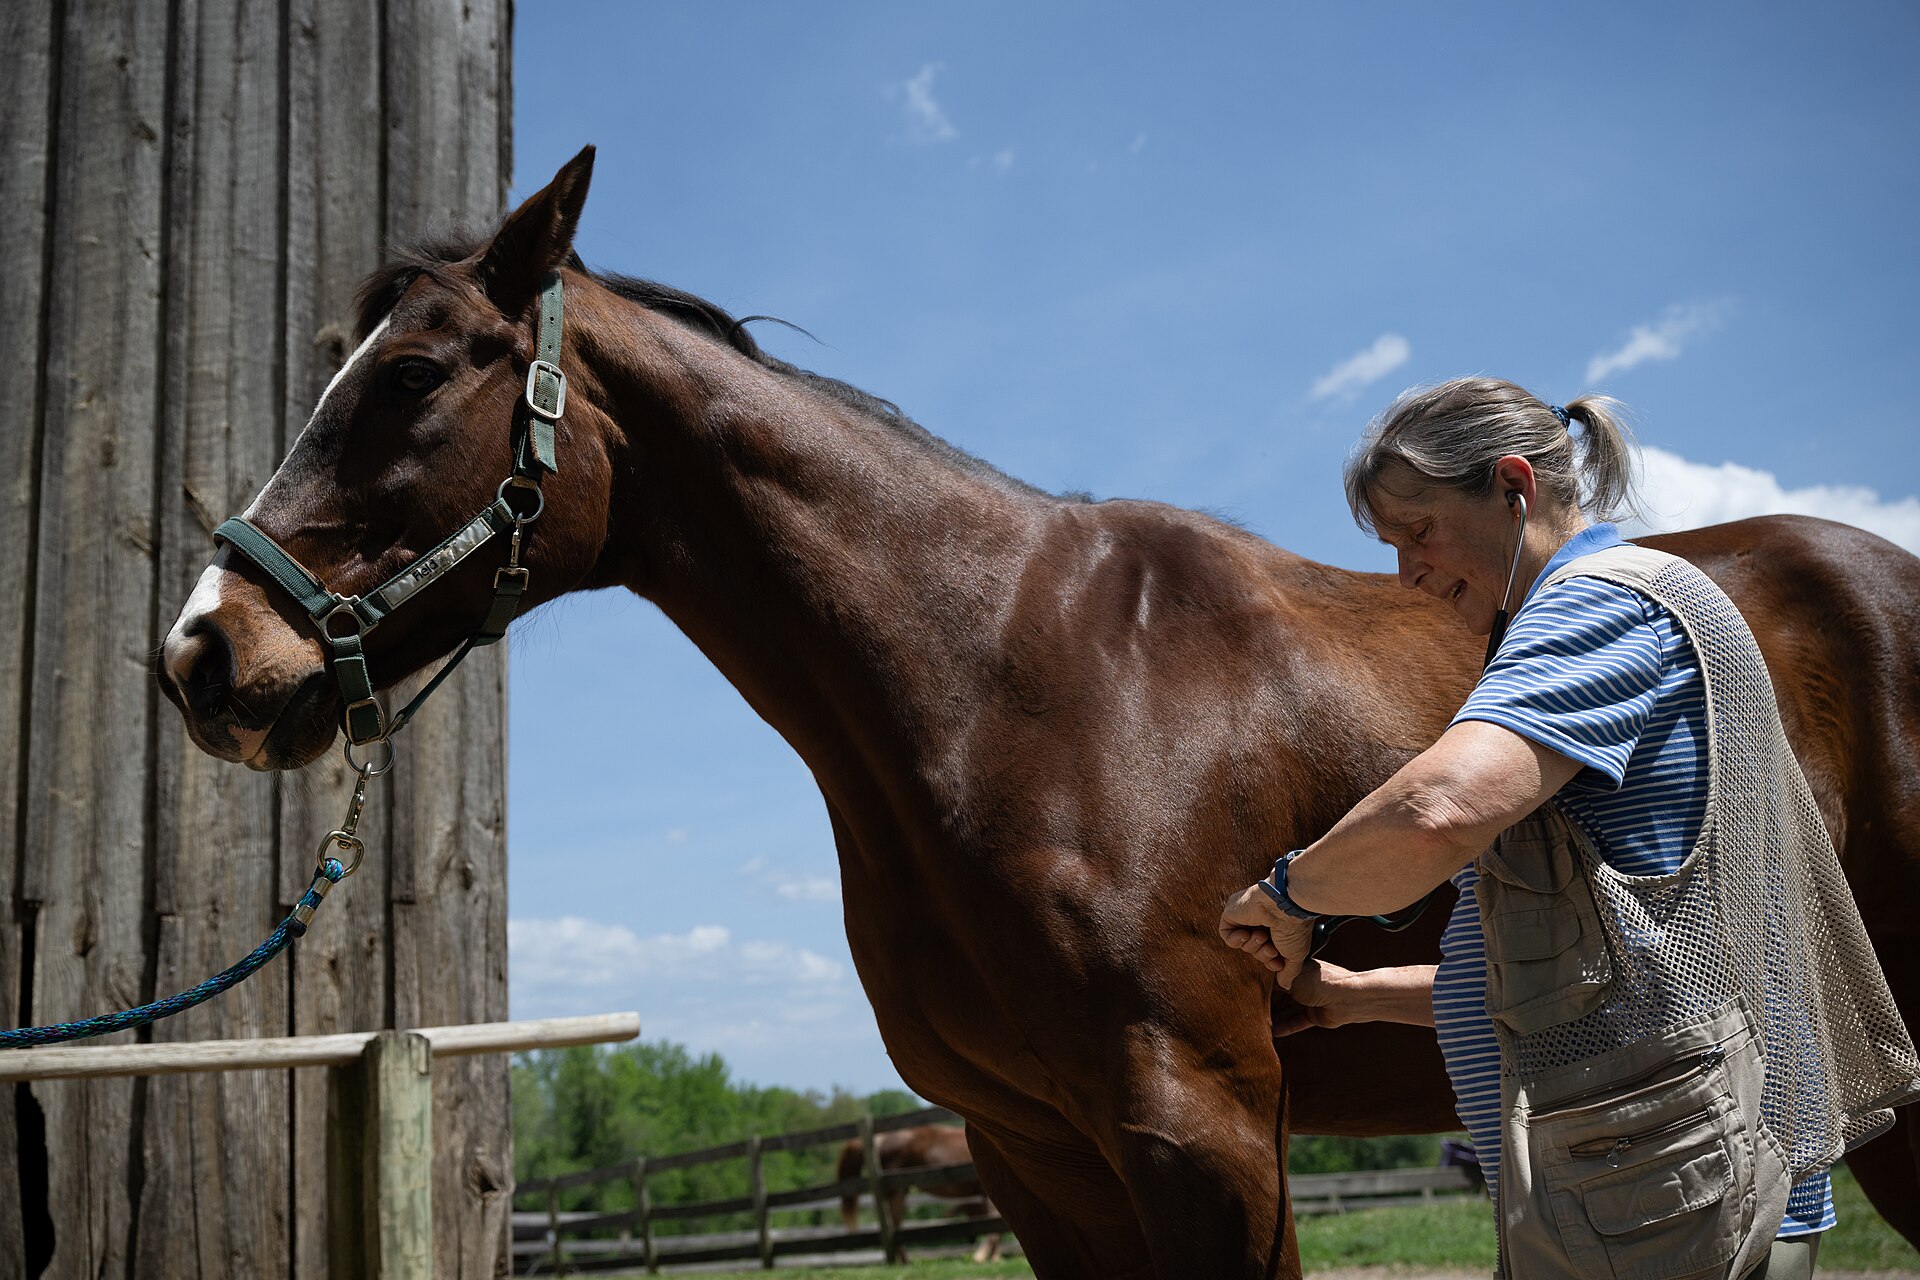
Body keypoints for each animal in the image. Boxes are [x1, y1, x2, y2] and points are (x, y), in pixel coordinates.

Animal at [836, 1125, 1003, 1262]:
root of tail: (880, 1139)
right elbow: (993, 1227)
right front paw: (981, 1256)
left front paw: (994, 1258)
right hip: (897, 1190)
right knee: (895, 1224)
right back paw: (904, 1260)